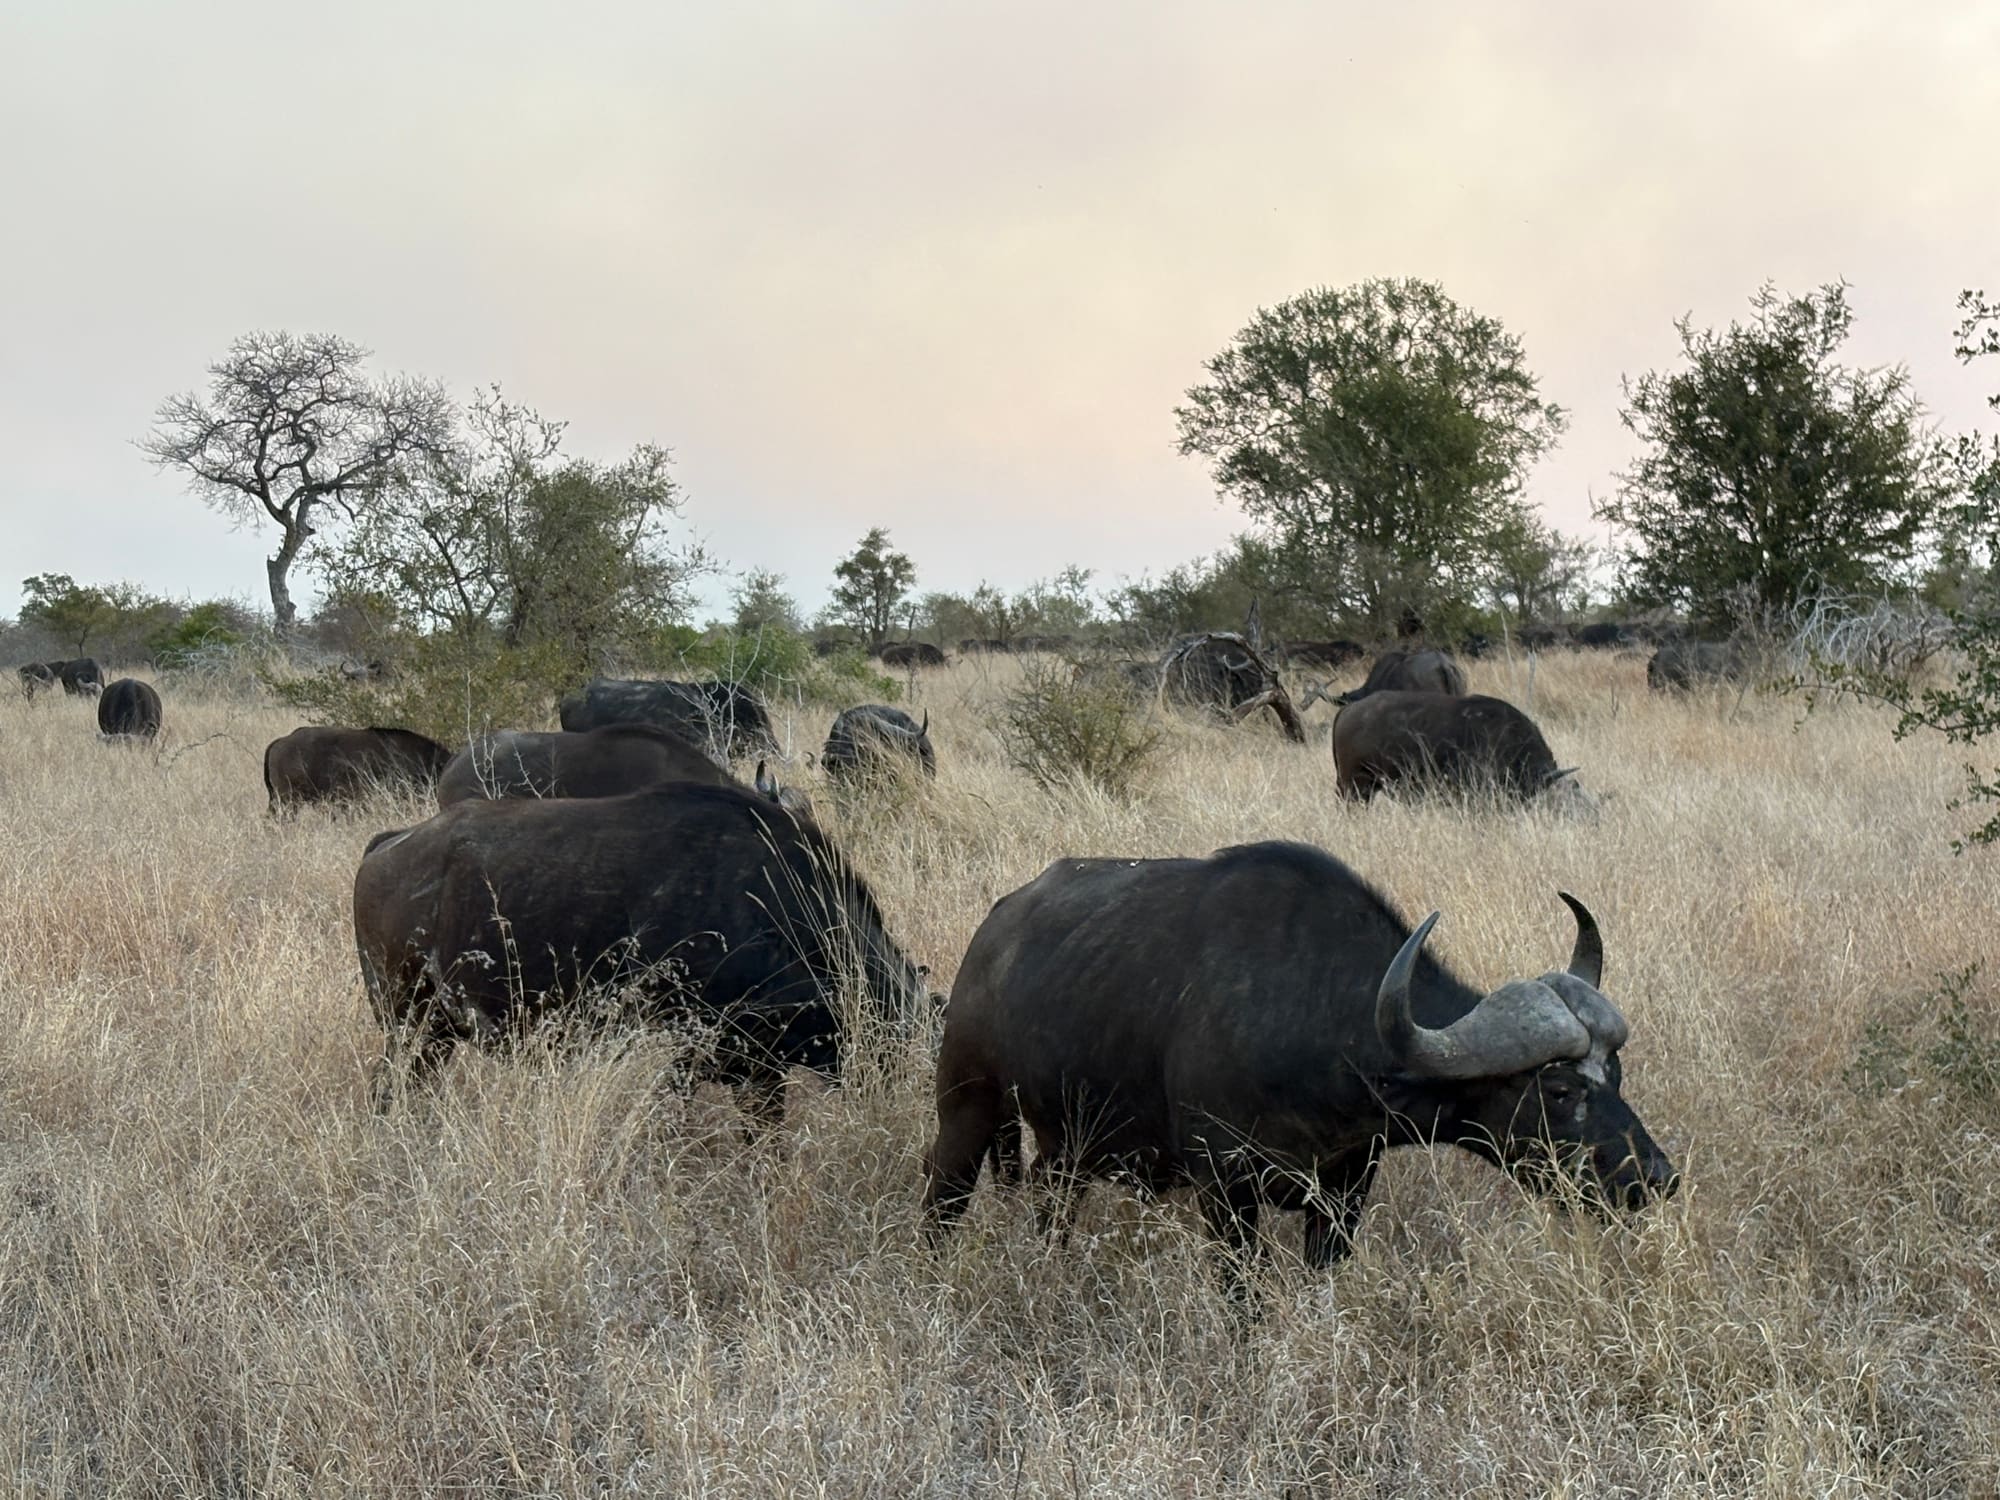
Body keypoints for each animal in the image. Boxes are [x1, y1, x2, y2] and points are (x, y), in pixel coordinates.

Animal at [924, 844, 1675, 1274]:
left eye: (1616, 1074)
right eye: (1557, 1090)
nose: (1655, 1177)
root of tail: (994, 930)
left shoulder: (1345, 1191)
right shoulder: (1225, 1191)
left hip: (1065, 1148)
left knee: (1051, 1209)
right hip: (968, 1106)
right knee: (943, 1198)